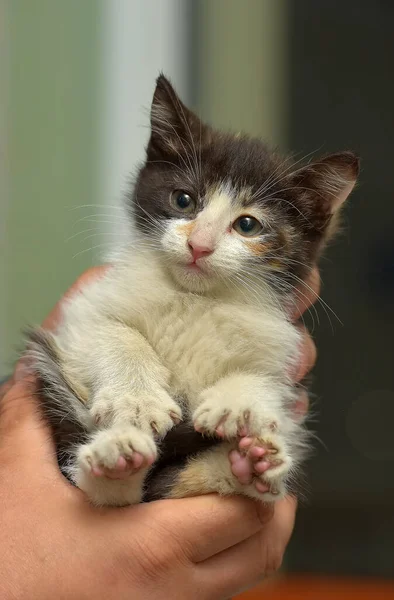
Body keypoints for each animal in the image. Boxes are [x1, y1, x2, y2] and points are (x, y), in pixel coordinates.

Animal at [26, 74, 358, 506]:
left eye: (248, 225)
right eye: (183, 200)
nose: (199, 245)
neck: (195, 299)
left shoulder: (286, 340)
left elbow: (268, 373)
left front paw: (238, 403)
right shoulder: (83, 310)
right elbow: (114, 332)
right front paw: (137, 399)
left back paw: (250, 465)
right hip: (55, 383)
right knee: (106, 491)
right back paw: (118, 458)